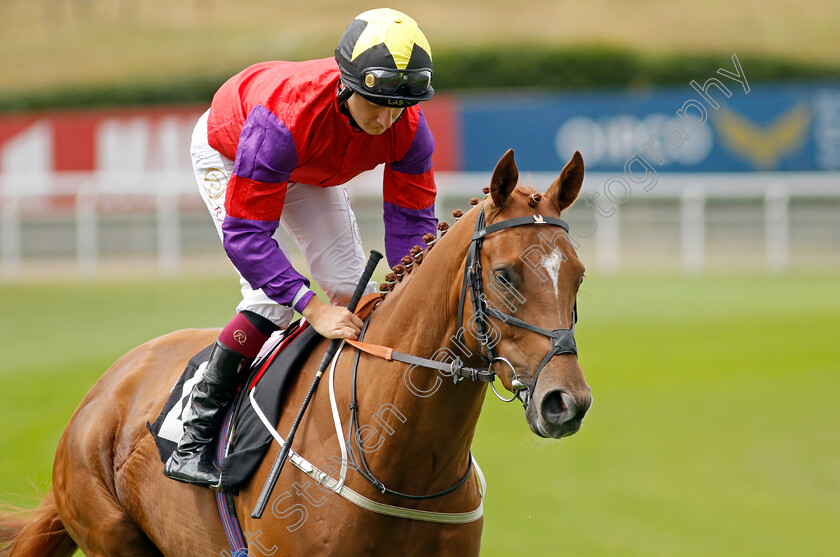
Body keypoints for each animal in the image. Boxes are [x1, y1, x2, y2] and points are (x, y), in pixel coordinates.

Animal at [0, 149, 592, 556]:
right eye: (505, 275)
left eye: (579, 276)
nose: (566, 401)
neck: (403, 467)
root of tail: (100, 392)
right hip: (111, 530)